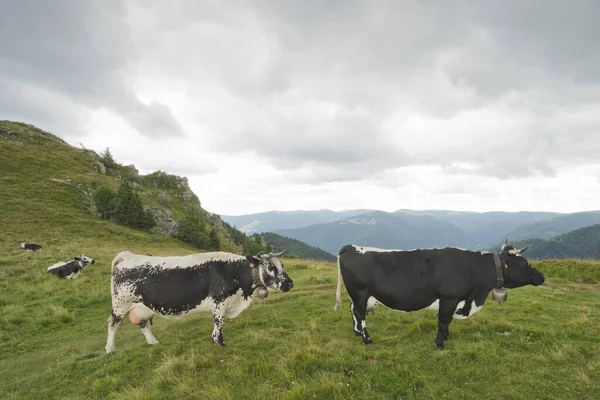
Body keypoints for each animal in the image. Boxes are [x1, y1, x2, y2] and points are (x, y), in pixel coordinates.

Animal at [106, 250, 294, 354]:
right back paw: (110, 349)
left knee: (142, 323)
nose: (289, 283)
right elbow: (219, 322)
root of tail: (128, 255)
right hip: (120, 304)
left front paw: (216, 341)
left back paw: (153, 342)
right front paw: (220, 343)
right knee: (113, 324)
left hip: (141, 306)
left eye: (282, 265)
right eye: (271, 267)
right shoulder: (219, 300)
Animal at [336, 241, 548, 350]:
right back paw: (366, 339)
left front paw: (446, 337)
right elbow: (443, 320)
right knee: (360, 314)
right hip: (360, 291)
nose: (542, 276)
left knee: (354, 310)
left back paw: (356, 332)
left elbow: (447, 323)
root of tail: (350, 246)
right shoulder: (449, 298)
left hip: (357, 295)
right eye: (523, 263)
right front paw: (440, 344)